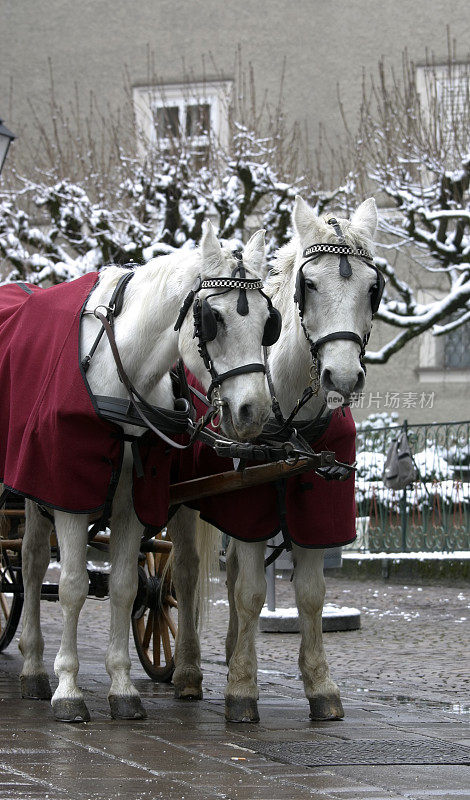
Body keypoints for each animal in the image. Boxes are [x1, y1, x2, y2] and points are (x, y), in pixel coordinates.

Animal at [17, 222, 276, 720]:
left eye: (267, 323)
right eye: (213, 319)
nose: (253, 412)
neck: (120, 370)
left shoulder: (134, 499)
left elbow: (122, 587)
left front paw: (121, 687)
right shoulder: (68, 492)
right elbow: (73, 587)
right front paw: (68, 689)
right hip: (34, 487)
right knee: (33, 564)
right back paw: (34, 667)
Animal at [167, 197, 380, 720]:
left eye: (372, 288)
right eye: (310, 284)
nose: (343, 376)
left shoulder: (317, 509)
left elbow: (310, 595)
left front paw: (320, 685)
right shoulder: (250, 503)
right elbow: (250, 593)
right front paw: (243, 690)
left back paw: (229, 652)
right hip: (184, 502)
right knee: (186, 573)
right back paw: (188, 671)